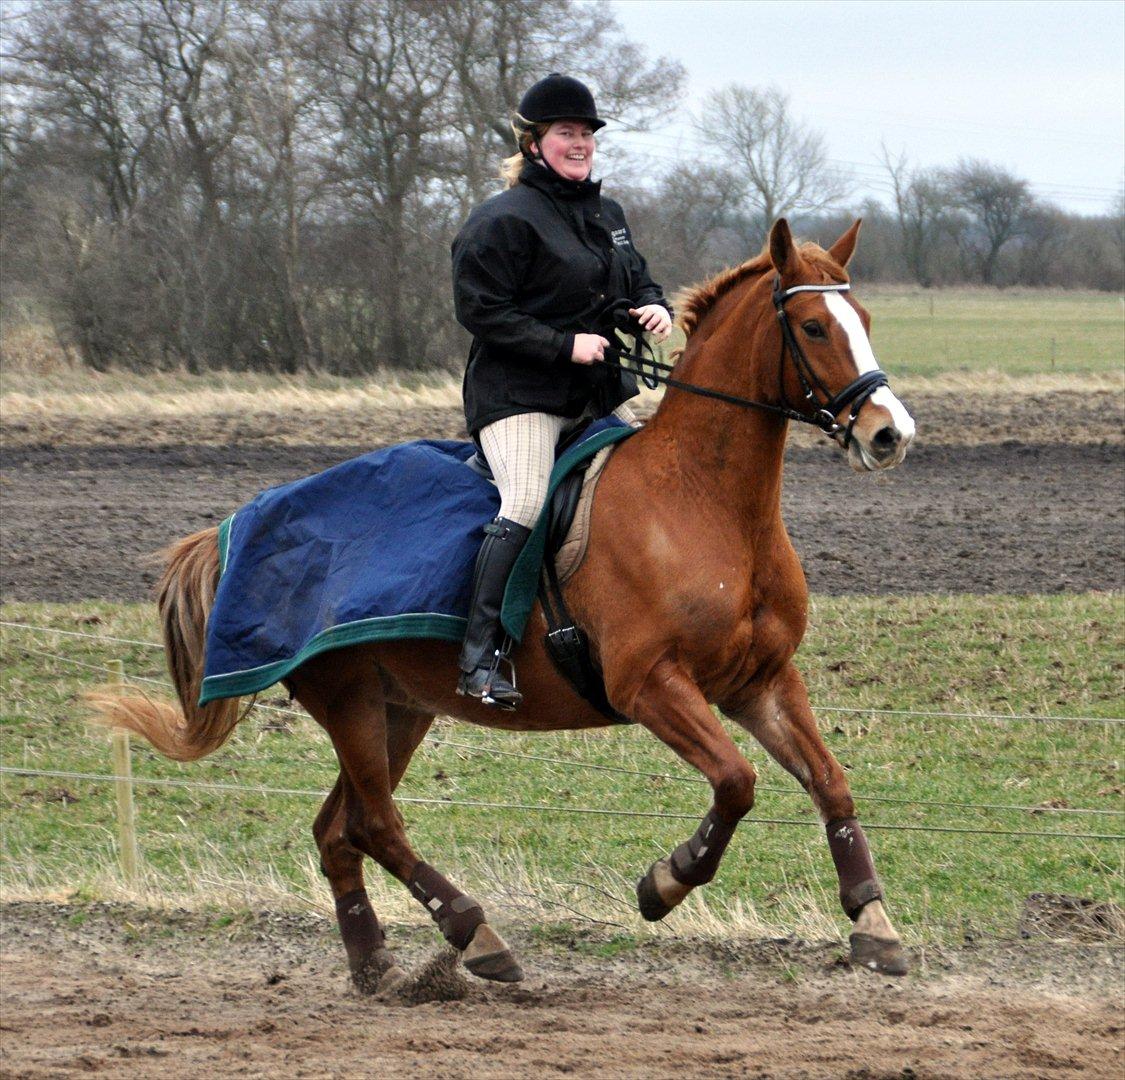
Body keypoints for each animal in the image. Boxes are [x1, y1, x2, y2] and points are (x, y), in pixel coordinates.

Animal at [96, 221, 913, 994]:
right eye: (813, 327)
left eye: (867, 317)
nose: (889, 434)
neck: (703, 501)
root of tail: (238, 526)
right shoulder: (650, 685)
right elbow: (736, 784)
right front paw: (664, 883)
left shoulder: (760, 681)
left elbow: (830, 782)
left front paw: (872, 923)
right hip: (350, 701)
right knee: (376, 825)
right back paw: (476, 935)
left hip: (399, 708)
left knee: (338, 831)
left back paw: (377, 967)